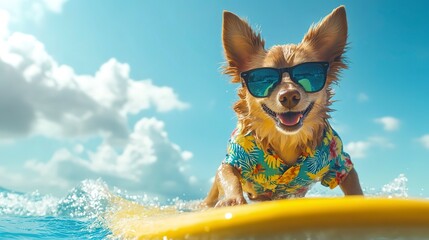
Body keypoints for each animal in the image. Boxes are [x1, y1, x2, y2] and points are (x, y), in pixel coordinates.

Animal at [203, 6, 362, 208]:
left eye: (308, 75)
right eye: (263, 79)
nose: (289, 96)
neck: (285, 140)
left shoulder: (340, 164)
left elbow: (354, 187)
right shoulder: (235, 158)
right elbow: (228, 175)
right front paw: (232, 200)